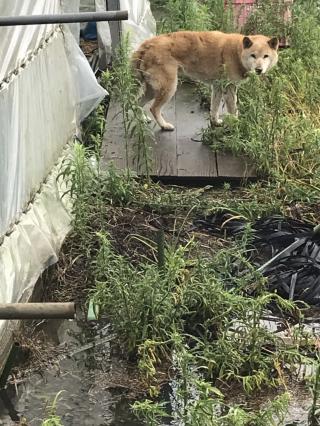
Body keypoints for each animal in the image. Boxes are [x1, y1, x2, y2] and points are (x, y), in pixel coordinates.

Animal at [131, 30, 278, 130]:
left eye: (266, 56)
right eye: (253, 55)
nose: (259, 70)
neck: (238, 52)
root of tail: (146, 45)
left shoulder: (218, 87)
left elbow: (214, 107)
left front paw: (215, 122)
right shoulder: (229, 89)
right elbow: (233, 110)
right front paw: (237, 127)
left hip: (152, 89)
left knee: (137, 102)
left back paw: (142, 119)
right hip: (168, 87)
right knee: (154, 108)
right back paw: (164, 125)